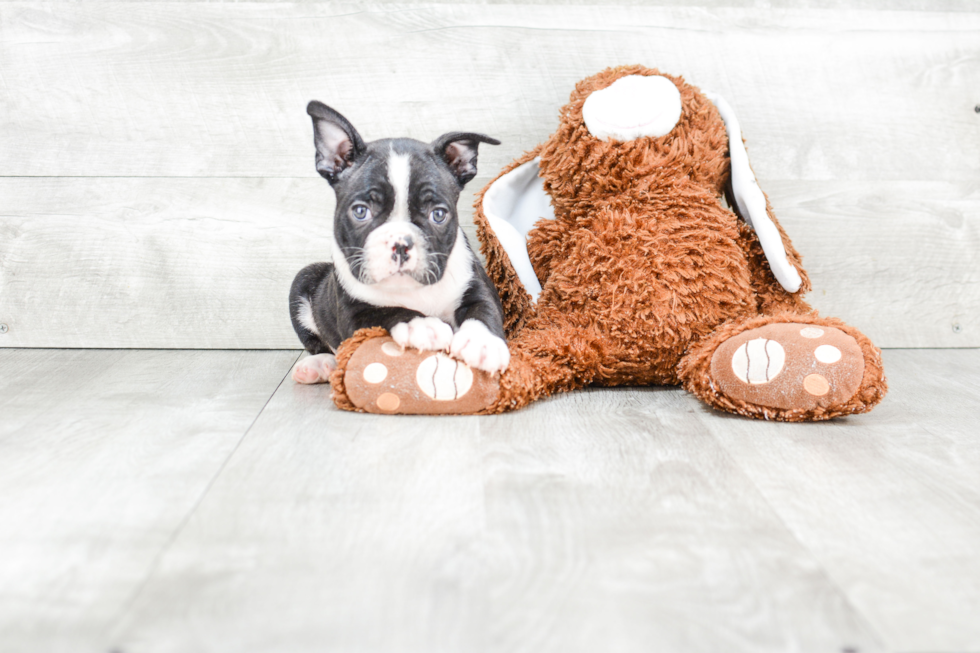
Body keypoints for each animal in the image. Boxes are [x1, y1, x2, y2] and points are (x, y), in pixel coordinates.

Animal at [288, 102, 510, 384]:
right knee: (319, 344)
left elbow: (483, 309)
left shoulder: (477, 284)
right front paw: (423, 325)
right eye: (360, 211)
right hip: (303, 279)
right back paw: (320, 365)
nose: (401, 244)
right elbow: (387, 311)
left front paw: (483, 343)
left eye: (439, 214)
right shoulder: (354, 314)